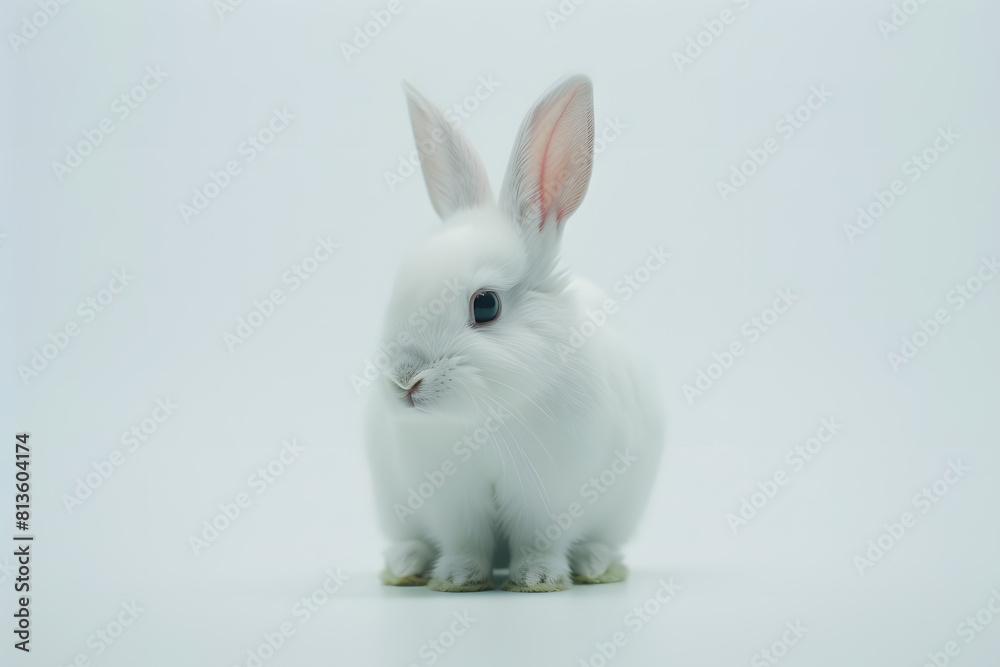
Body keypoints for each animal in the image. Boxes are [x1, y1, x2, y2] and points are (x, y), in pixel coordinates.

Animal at [365, 74, 665, 592]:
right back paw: (405, 565)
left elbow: (541, 540)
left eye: (485, 305)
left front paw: (538, 580)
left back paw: (596, 565)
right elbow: (464, 543)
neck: (486, 419)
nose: (404, 381)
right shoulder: (450, 500)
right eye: (399, 286)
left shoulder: (552, 495)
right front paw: (458, 579)